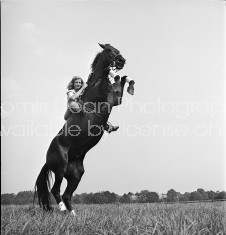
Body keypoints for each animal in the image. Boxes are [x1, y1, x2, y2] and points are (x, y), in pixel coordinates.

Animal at [33, 42, 132, 215]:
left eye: (117, 50)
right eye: (108, 50)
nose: (121, 61)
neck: (96, 84)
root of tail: (47, 159)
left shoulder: (115, 100)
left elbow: (120, 83)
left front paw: (123, 77)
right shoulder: (106, 97)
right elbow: (113, 79)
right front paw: (112, 73)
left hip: (76, 174)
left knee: (67, 195)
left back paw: (72, 214)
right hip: (60, 168)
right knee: (55, 190)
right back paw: (62, 210)